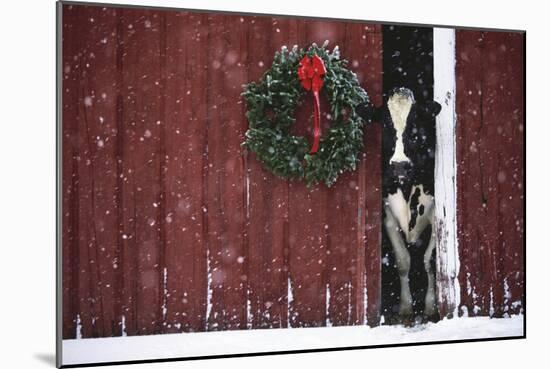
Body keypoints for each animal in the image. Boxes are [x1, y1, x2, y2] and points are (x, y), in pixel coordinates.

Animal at [358, 87, 444, 324]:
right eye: (385, 125)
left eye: (415, 125)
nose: (399, 166)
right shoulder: (387, 214)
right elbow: (403, 261)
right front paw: (405, 307)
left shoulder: (435, 215)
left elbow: (430, 260)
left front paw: (430, 307)